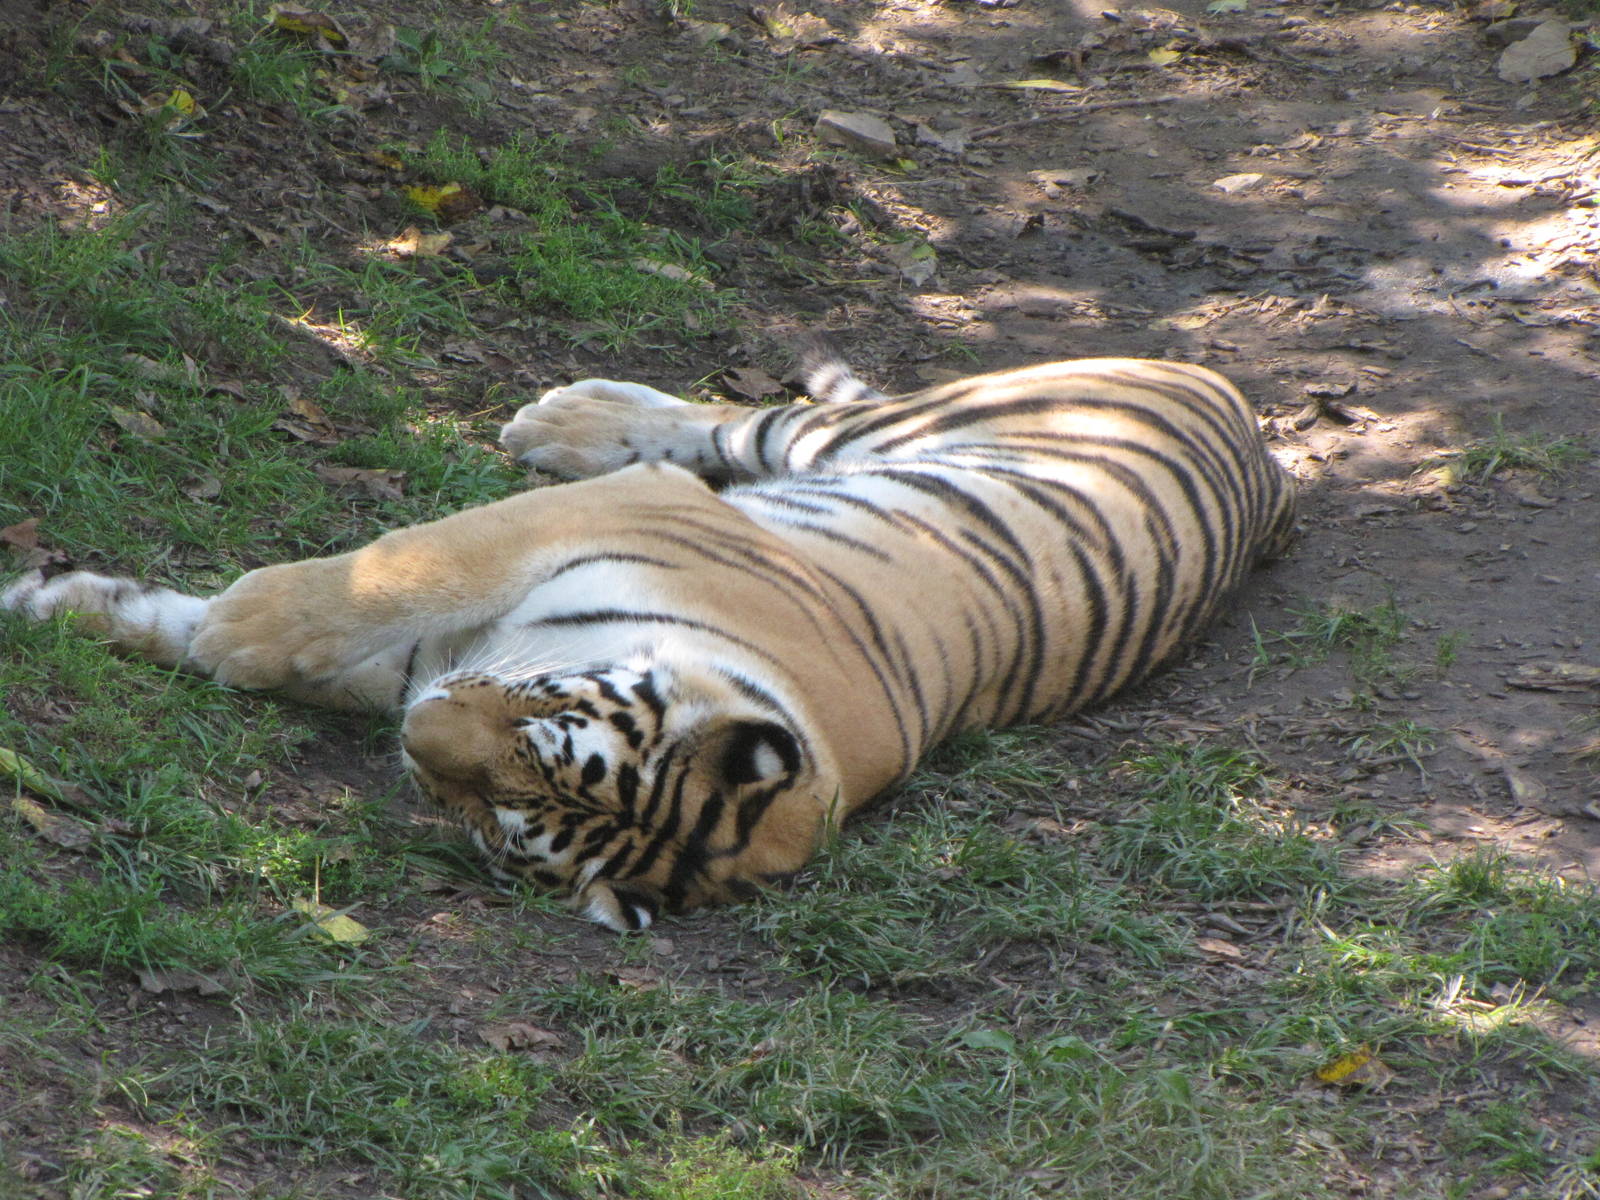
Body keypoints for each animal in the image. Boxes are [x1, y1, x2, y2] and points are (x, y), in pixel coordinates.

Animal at [3, 354, 1295, 930]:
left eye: (502, 820)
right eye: (551, 713)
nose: (424, 739)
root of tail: (1262, 438)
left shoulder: (437, 663)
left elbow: (320, 632)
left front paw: (103, 611)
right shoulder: (605, 520)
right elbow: (380, 574)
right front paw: (174, 616)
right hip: (851, 433)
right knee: (733, 420)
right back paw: (564, 416)